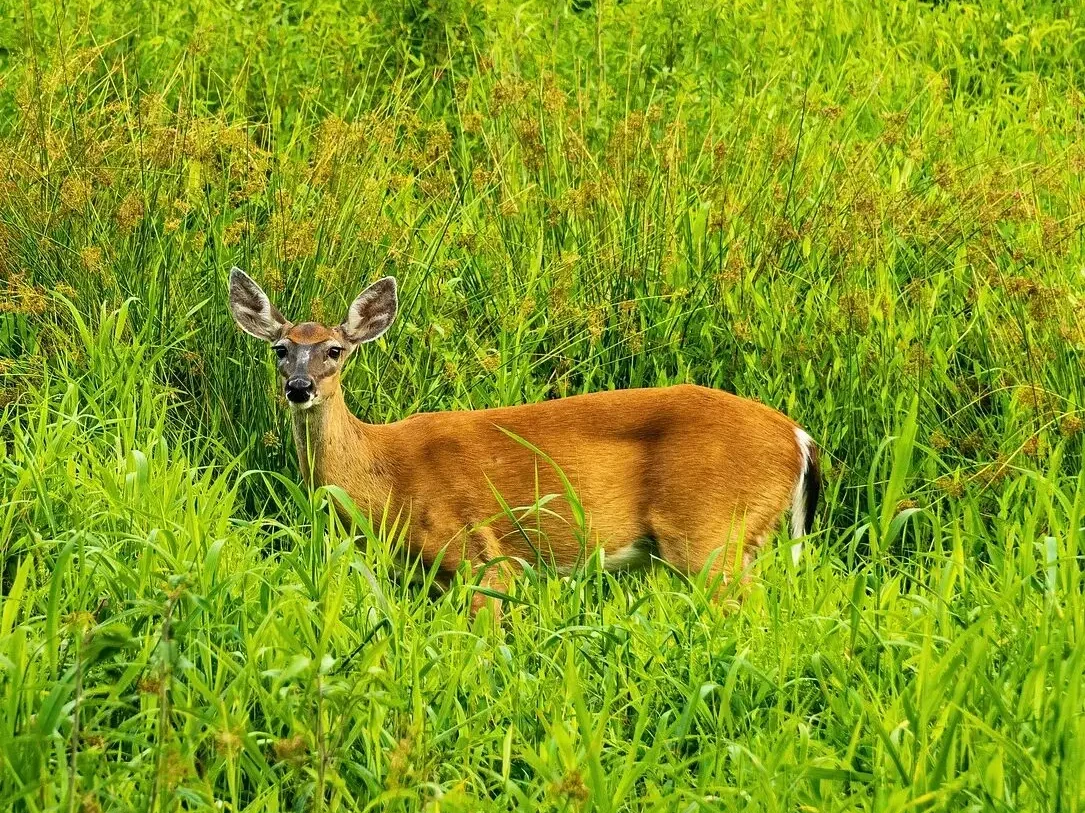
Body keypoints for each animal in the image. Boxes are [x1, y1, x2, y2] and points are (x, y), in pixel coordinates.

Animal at [228, 267, 821, 618]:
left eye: (335, 350)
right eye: (281, 348)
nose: (299, 387)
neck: (387, 474)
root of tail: (799, 437)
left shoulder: (483, 558)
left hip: (713, 533)